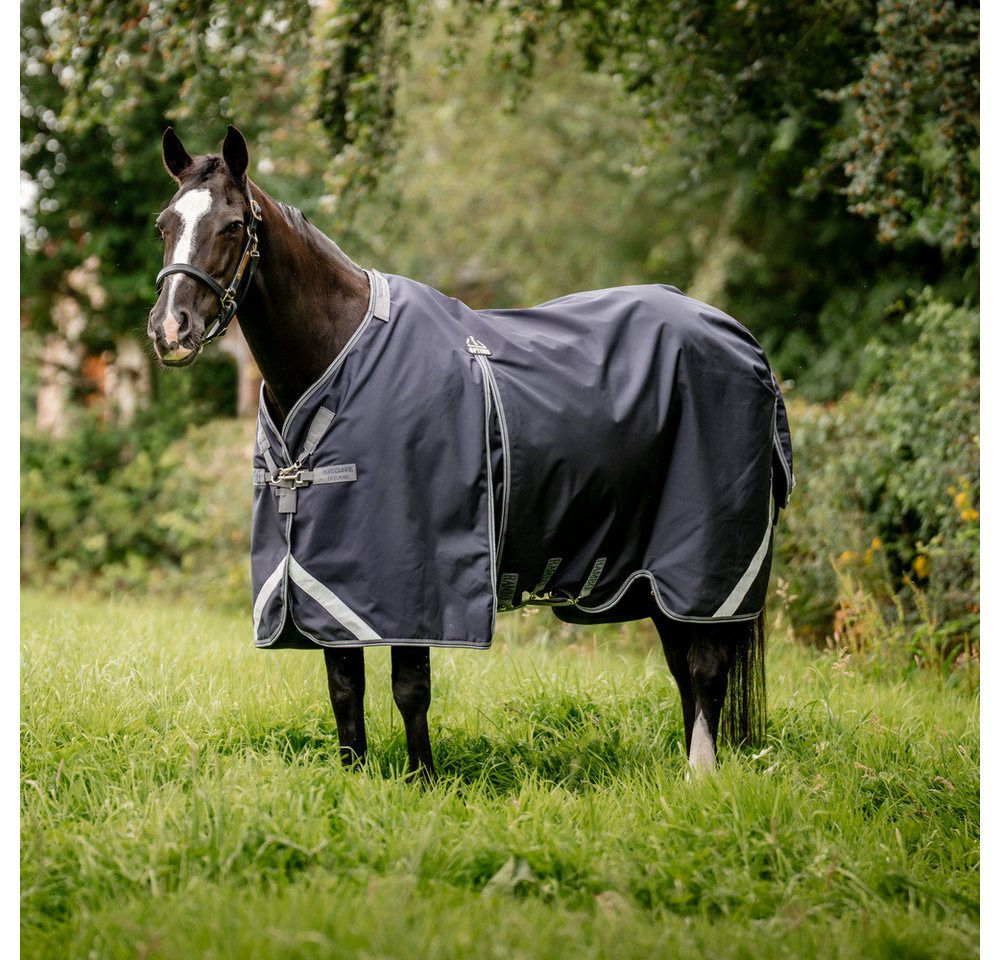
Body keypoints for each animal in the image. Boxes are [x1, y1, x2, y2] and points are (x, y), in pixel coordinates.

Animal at [147, 125, 792, 783]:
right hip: (659, 575)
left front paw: (423, 781)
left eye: (231, 225)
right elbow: (345, 690)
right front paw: (354, 780)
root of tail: (742, 342)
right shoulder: (324, 579)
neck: (338, 354)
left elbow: (410, 688)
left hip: (703, 563)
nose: (169, 330)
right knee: (684, 665)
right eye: (164, 224)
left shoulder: (413, 580)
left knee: (706, 666)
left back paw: (700, 775)